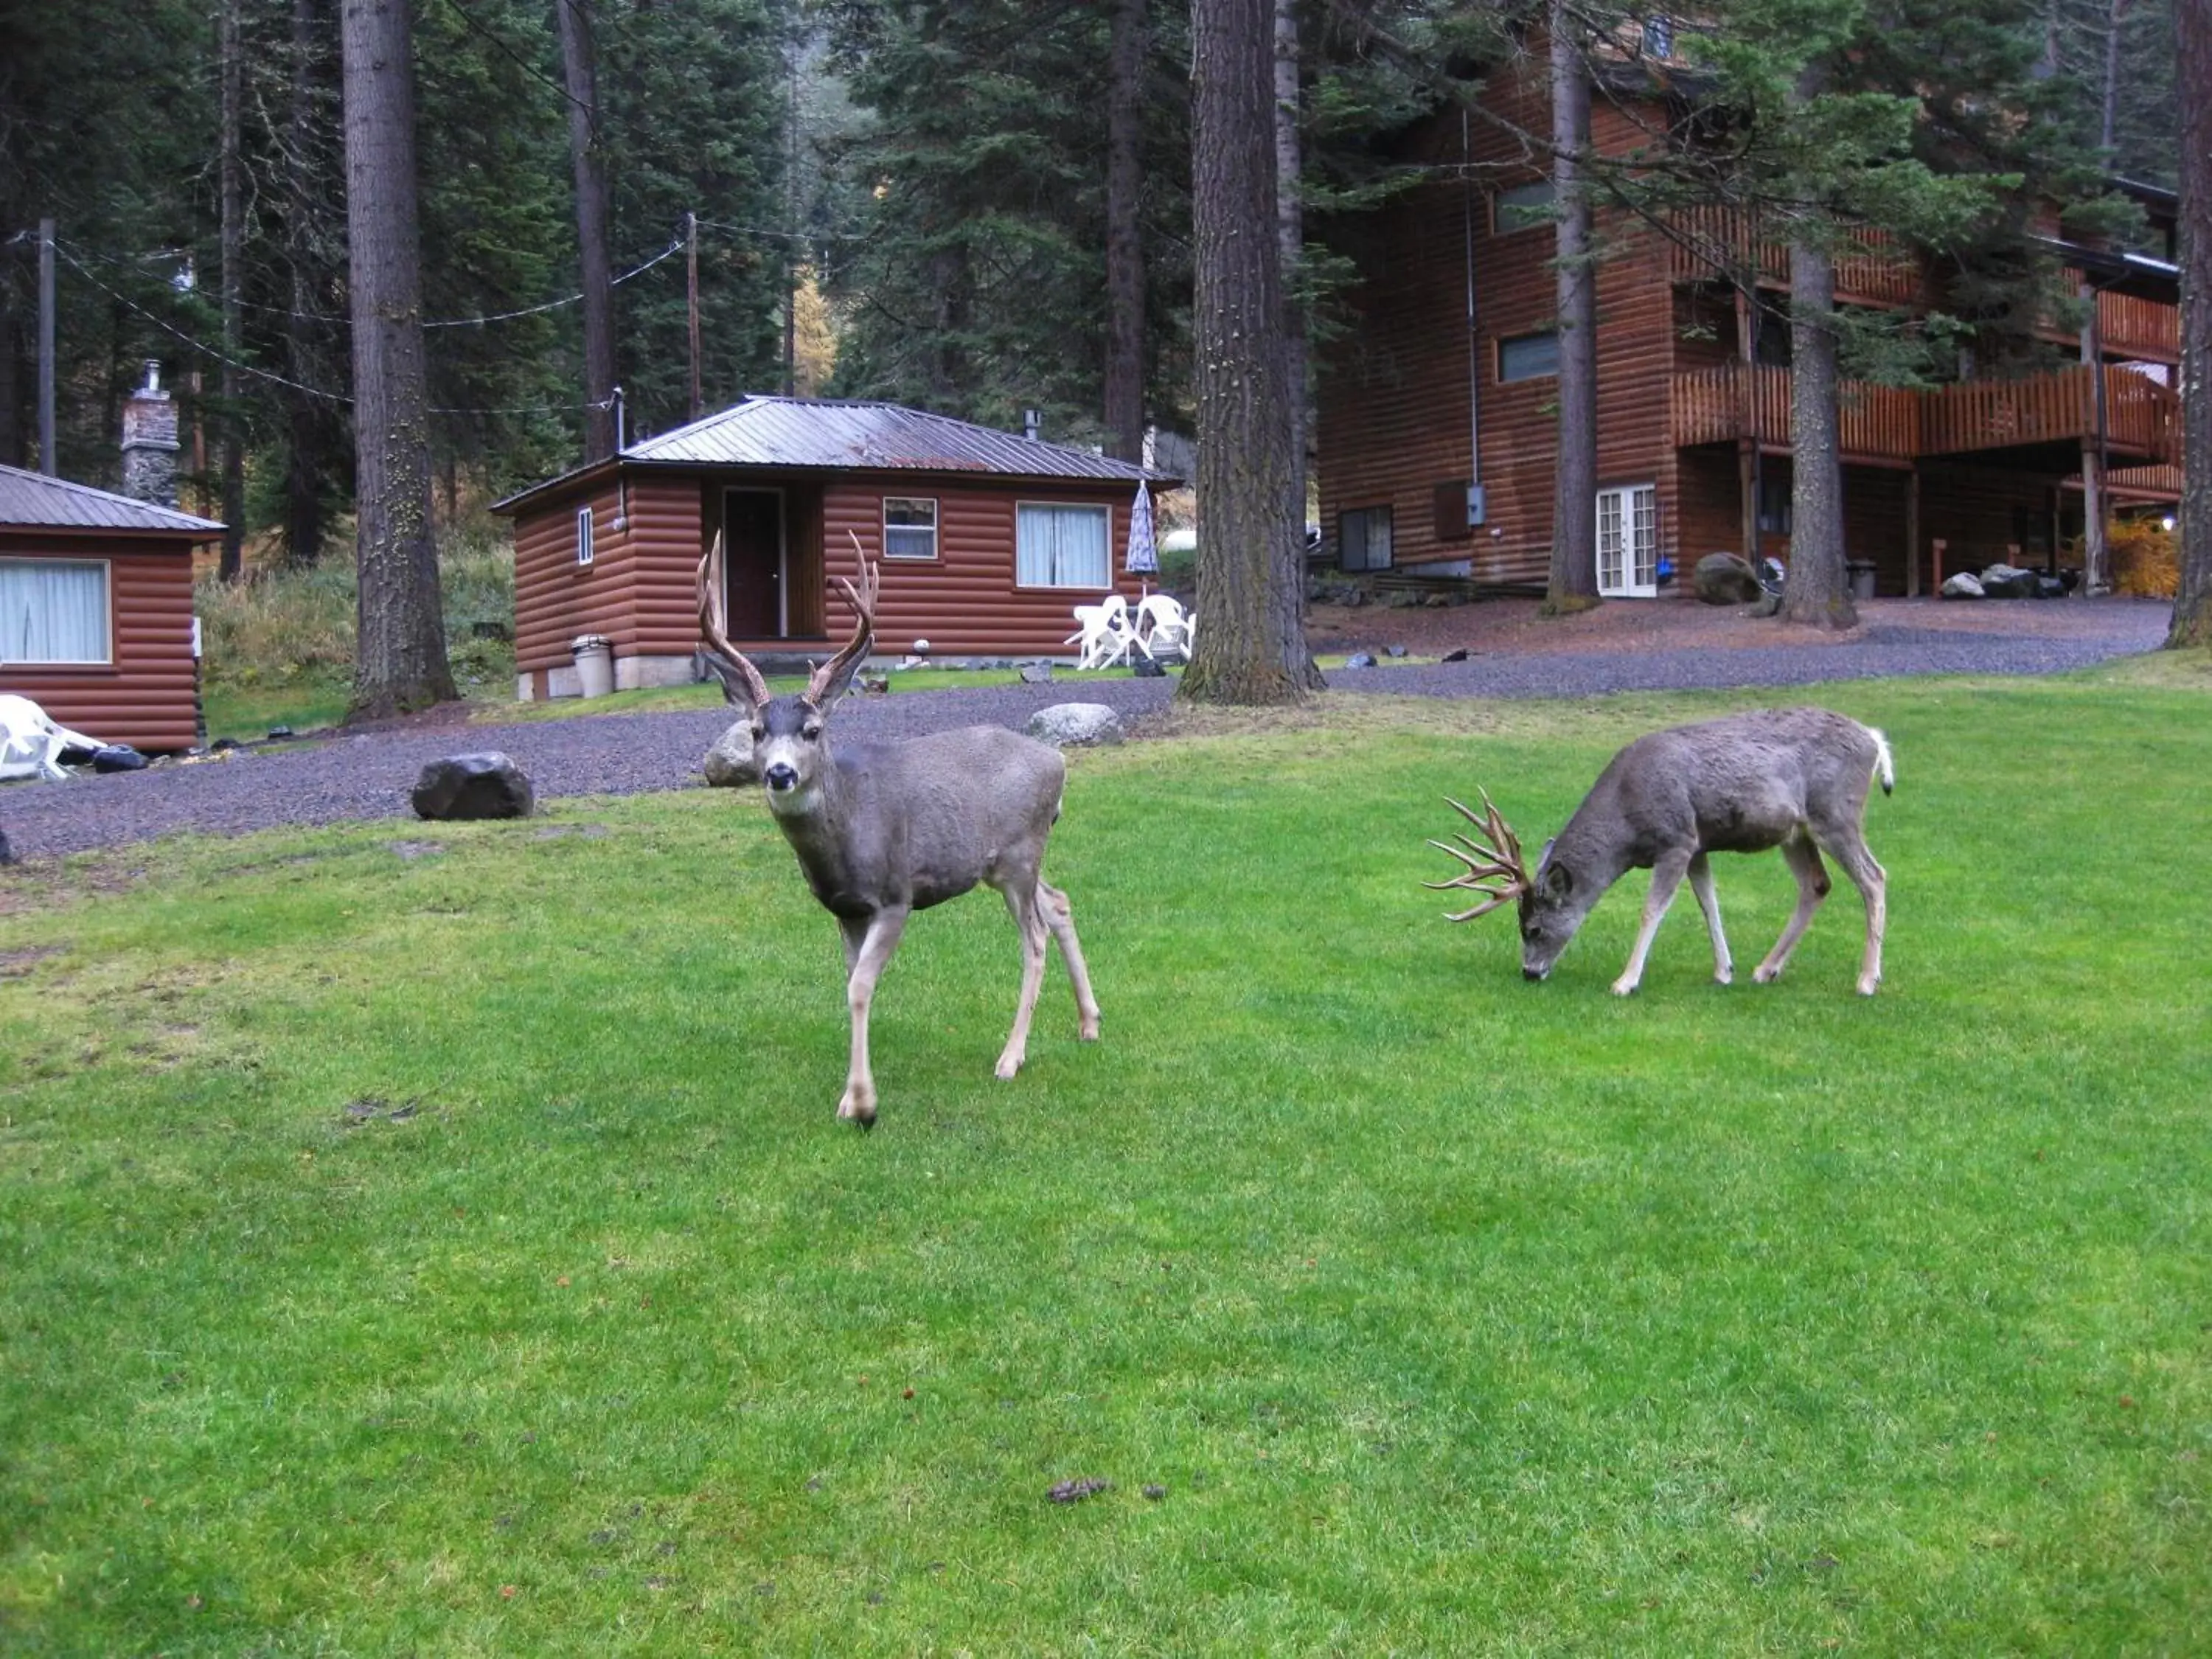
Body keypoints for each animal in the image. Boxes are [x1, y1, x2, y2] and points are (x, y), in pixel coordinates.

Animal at [699, 533, 1097, 1133]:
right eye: (755, 731)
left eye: (813, 730)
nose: (780, 773)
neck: (847, 834)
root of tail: (1059, 761)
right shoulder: (845, 910)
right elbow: (850, 984)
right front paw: (852, 1094)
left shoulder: (894, 895)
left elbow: (862, 986)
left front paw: (863, 1103)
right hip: (1008, 862)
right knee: (1060, 902)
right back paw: (1089, 1022)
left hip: (1020, 853)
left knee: (1035, 937)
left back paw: (1010, 1058)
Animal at [1433, 703, 1902, 995]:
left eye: (1533, 929)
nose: (1529, 973)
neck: (1626, 819)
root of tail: (1874, 741)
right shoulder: (1698, 844)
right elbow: (1708, 902)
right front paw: (1724, 971)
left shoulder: (1676, 840)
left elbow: (1652, 910)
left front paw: (1625, 982)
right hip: (1796, 831)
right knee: (1816, 885)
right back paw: (1765, 969)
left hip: (1835, 813)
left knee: (1874, 876)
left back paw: (1867, 980)